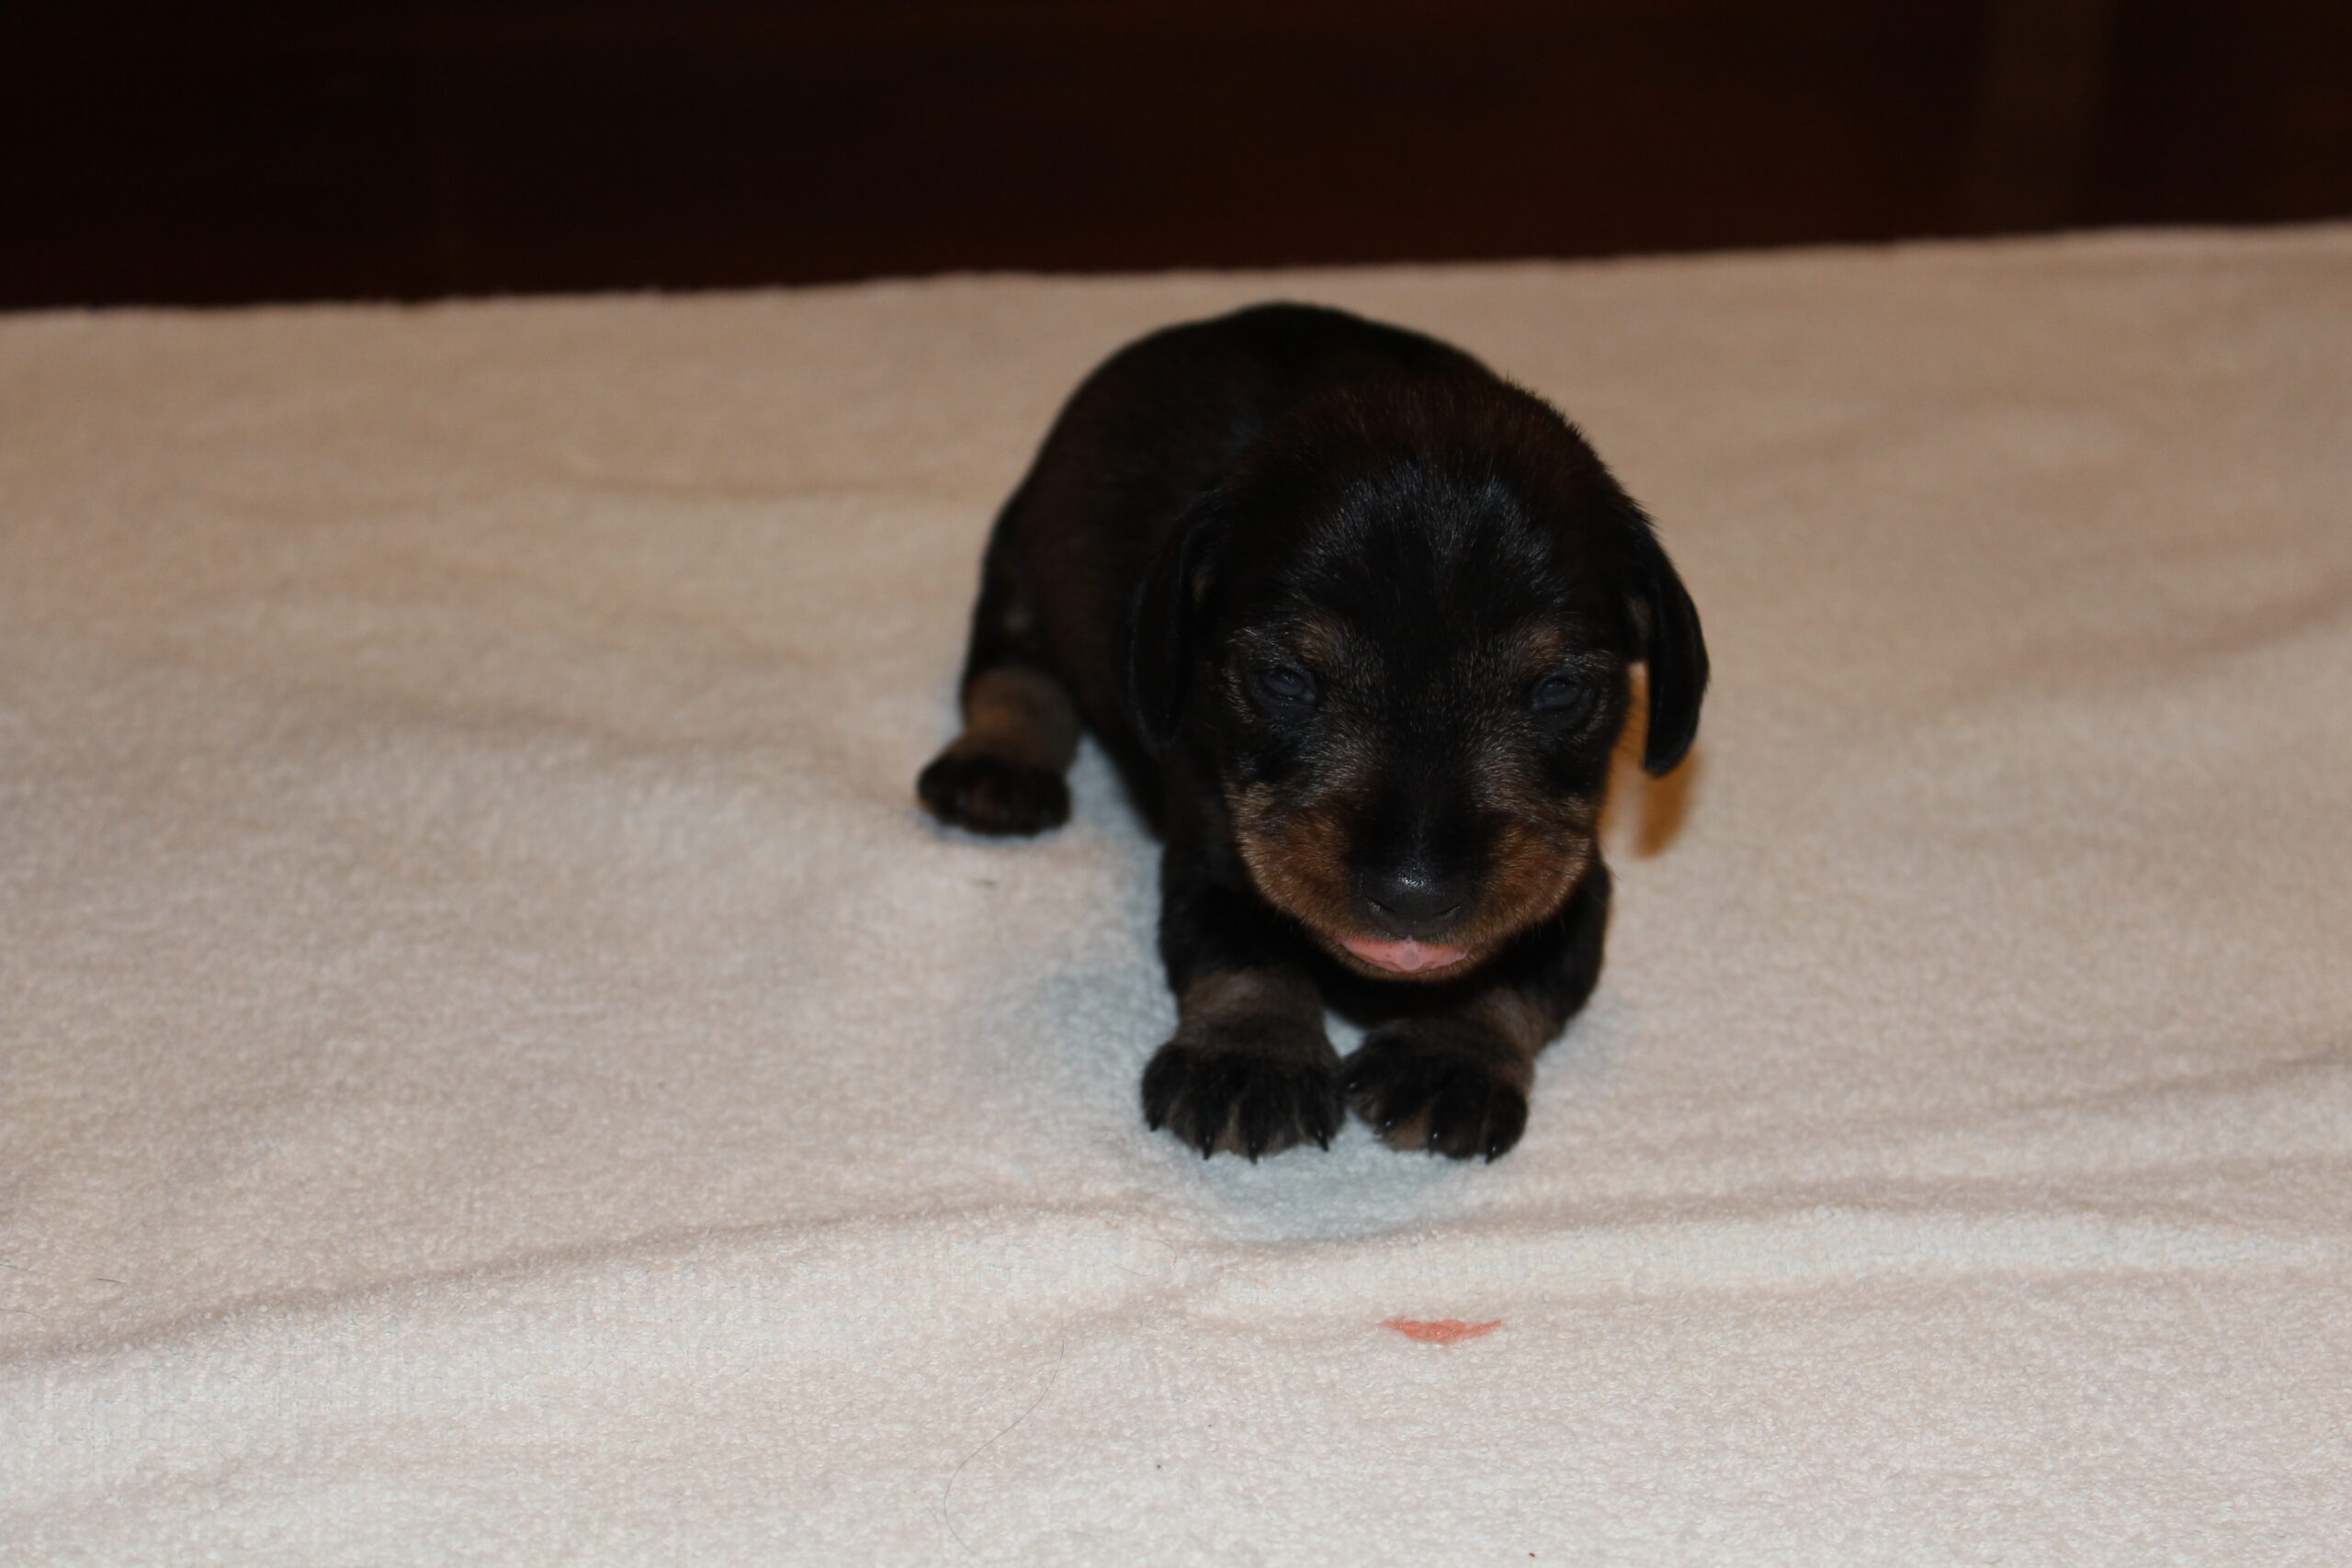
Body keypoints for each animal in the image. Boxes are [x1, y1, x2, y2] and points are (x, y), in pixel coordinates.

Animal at [918, 303, 1705, 1161]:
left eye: (1560, 691)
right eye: (1286, 681)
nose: (1416, 894)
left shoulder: (1570, 876)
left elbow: (1520, 960)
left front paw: (1447, 1056)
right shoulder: (1219, 842)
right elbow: (1245, 942)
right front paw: (1250, 1056)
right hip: (1019, 559)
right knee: (1015, 675)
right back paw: (996, 768)